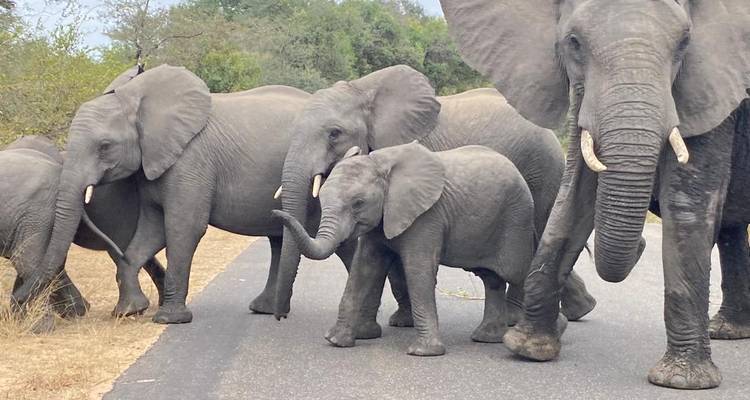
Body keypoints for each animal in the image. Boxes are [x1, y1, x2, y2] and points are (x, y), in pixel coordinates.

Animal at [24, 64, 359, 326]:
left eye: (104, 146)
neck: (137, 102)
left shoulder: (190, 160)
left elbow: (184, 227)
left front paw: (169, 319)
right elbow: (151, 232)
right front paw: (128, 312)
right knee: (279, 239)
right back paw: (265, 310)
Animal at [273, 64, 597, 329]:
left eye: (334, 134)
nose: (280, 317)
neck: (363, 90)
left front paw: (402, 323)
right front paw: (398, 322)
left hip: (542, 173)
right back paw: (580, 311)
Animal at [275, 143, 568, 355]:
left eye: (358, 203)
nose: (276, 213)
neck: (382, 163)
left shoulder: (428, 216)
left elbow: (418, 271)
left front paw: (423, 352)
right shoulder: (382, 220)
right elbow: (363, 269)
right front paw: (336, 341)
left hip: (516, 218)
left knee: (519, 272)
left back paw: (551, 333)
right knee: (491, 279)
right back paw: (485, 338)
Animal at [440, 0, 750, 389]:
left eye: (684, 43)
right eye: (574, 42)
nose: (640, 245)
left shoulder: (712, 85)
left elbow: (688, 205)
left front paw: (681, 380)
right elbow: (576, 197)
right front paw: (528, 349)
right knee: (732, 231)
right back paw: (727, 330)